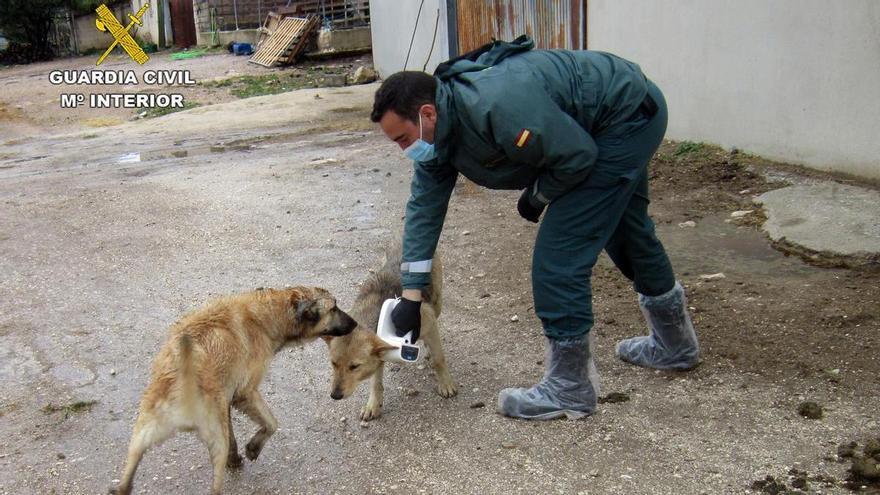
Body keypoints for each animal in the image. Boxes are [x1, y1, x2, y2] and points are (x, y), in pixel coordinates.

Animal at [111, 286, 358, 495]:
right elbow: (271, 423)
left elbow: (236, 435)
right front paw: (253, 448)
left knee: (127, 474)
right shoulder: (245, 393)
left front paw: (237, 456)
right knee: (215, 487)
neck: (266, 315)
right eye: (334, 308)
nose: (356, 323)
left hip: (142, 434)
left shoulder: (227, 400)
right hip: (214, 438)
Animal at [326, 245, 458, 422]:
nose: (335, 395)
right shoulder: (379, 351)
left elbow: (439, 359)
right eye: (333, 363)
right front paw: (373, 404)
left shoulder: (429, 323)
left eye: (354, 367)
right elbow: (375, 382)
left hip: (436, 304)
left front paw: (445, 383)